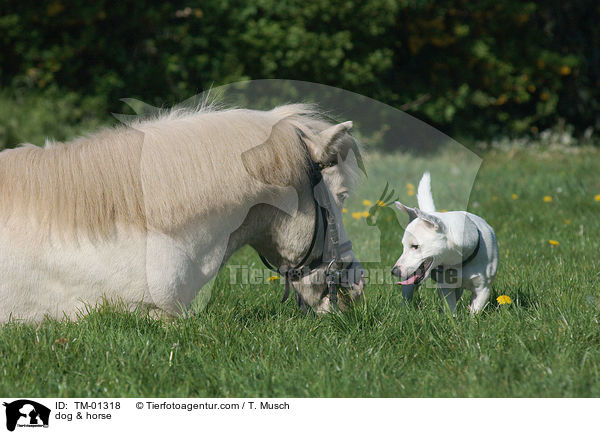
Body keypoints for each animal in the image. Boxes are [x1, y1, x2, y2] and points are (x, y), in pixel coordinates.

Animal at [394, 172, 496, 312]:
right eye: (403, 246)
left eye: (415, 246)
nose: (394, 271)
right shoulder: (446, 288)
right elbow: (450, 308)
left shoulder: (483, 289)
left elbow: (475, 310)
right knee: (407, 294)